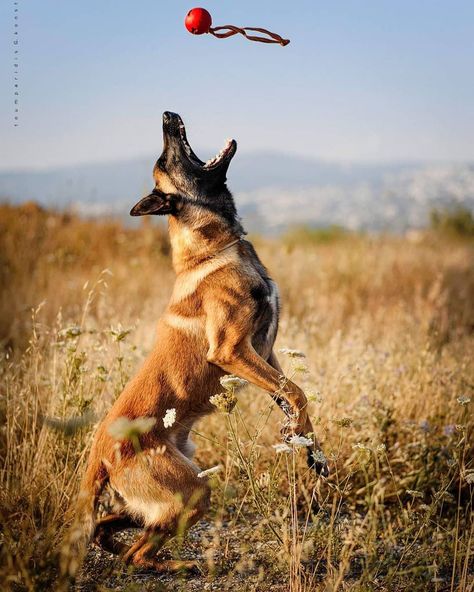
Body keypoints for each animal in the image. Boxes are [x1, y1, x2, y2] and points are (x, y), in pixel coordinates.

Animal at [59, 112, 328, 588]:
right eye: (166, 159)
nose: (168, 115)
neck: (217, 248)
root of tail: (99, 452)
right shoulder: (232, 351)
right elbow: (296, 393)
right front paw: (301, 438)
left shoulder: (266, 354)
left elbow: (292, 396)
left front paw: (308, 447)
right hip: (193, 492)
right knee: (136, 553)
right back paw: (179, 565)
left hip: (164, 494)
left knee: (110, 529)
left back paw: (125, 548)